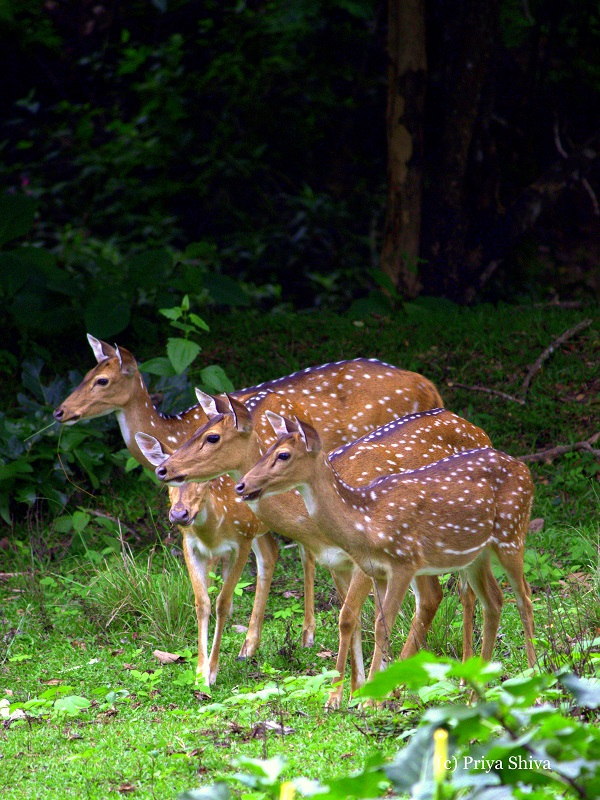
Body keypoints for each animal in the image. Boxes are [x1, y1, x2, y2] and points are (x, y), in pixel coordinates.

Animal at [152, 396, 500, 704]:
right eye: (195, 430)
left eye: (212, 436)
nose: (163, 469)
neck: (312, 525)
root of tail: (482, 432)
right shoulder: (336, 562)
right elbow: (354, 621)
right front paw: (355, 690)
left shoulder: (365, 558)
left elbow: (349, 618)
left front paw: (349, 694)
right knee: (438, 596)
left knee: (447, 595)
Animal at [237, 416, 536, 704]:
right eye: (268, 448)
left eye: (283, 454)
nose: (242, 485)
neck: (367, 521)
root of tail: (525, 469)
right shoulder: (376, 571)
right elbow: (374, 622)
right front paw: (372, 695)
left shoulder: (404, 562)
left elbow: (381, 624)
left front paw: (369, 701)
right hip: (476, 555)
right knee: (494, 601)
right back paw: (476, 693)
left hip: (512, 534)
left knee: (524, 598)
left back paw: (534, 678)